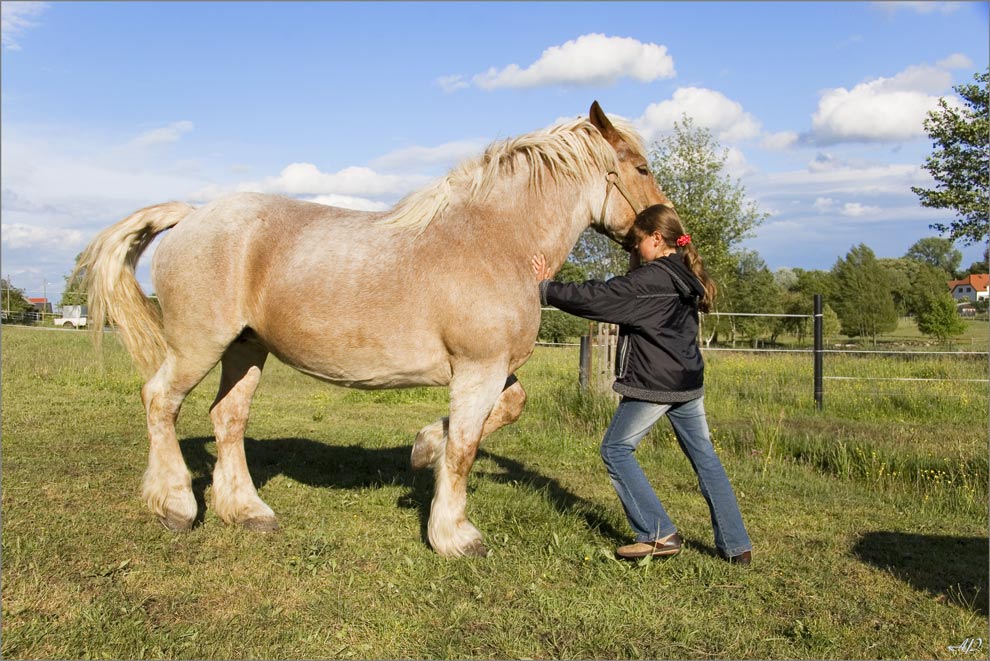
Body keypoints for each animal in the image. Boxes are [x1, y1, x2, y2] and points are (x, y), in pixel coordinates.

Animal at [77, 102, 676, 556]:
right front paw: (455, 535)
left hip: (245, 350)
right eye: (643, 168)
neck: (494, 241)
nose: (673, 233)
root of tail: (192, 215)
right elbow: (465, 447)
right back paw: (176, 505)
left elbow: (503, 413)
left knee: (228, 418)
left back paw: (246, 511)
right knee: (160, 401)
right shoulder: (478, 371)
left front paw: (423, 449)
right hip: (198, 345)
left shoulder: (493, 372)